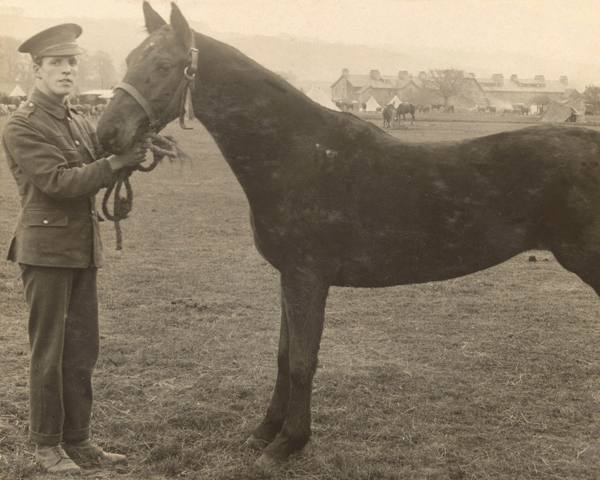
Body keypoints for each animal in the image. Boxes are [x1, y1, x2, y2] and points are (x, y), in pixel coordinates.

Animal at [98, 0, 600, 468]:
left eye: (164, 65)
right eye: (128, 59)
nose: (108, 133)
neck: (297, 154)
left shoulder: (307, 278)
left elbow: (302, 361)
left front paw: (287, 443)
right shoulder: (289, 278)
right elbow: (283, 356)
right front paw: (264, 431)